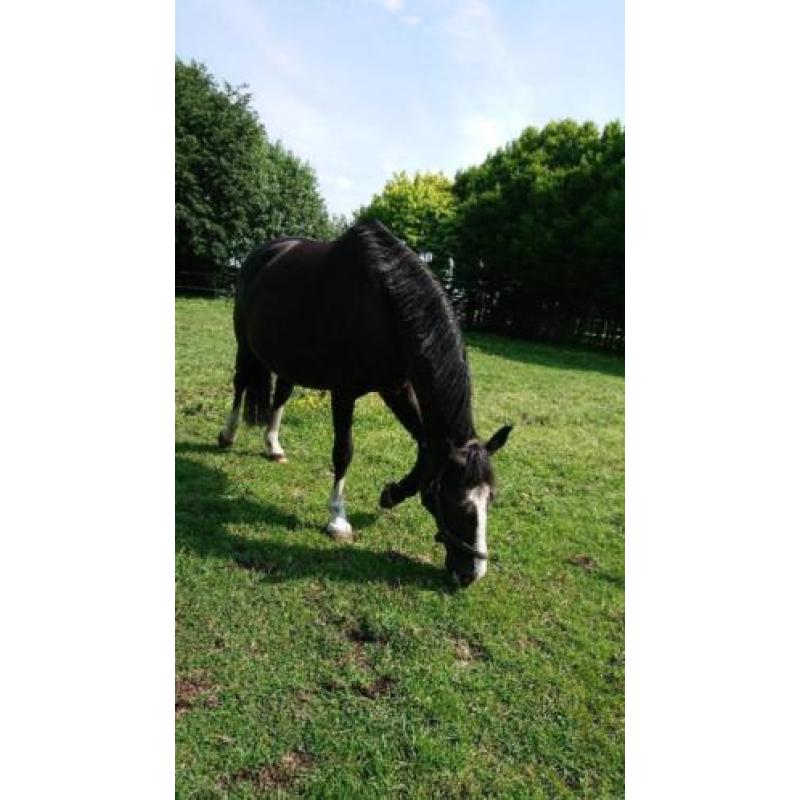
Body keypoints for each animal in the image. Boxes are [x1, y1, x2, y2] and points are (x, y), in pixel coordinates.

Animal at [217, 220, 511, 586]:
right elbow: (343, 452)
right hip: (245, 344)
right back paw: (227, 435)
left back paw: (273, 446)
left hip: (288, 358)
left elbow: (426, 447)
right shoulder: (344, 391)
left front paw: (393, 493)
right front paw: (337, 519)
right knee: (240, 383)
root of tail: (261, 253)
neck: (381, 306)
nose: (471, 574)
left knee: (280, 394)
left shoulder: (396, 387)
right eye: (458, 502)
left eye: (491, 499)